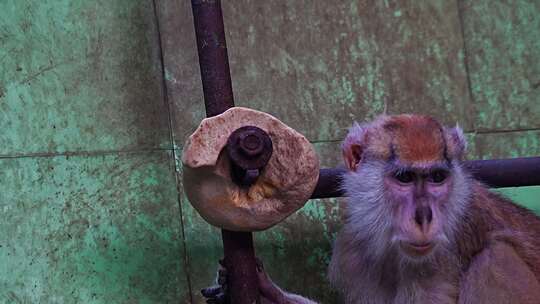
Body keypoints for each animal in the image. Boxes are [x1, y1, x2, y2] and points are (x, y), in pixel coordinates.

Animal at [201, 114, 540, 304]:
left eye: (437, 178)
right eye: (404, 178)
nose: (424, 218)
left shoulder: (437, 263)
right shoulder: (353, 250)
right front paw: (268, 294)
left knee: (495, 257)